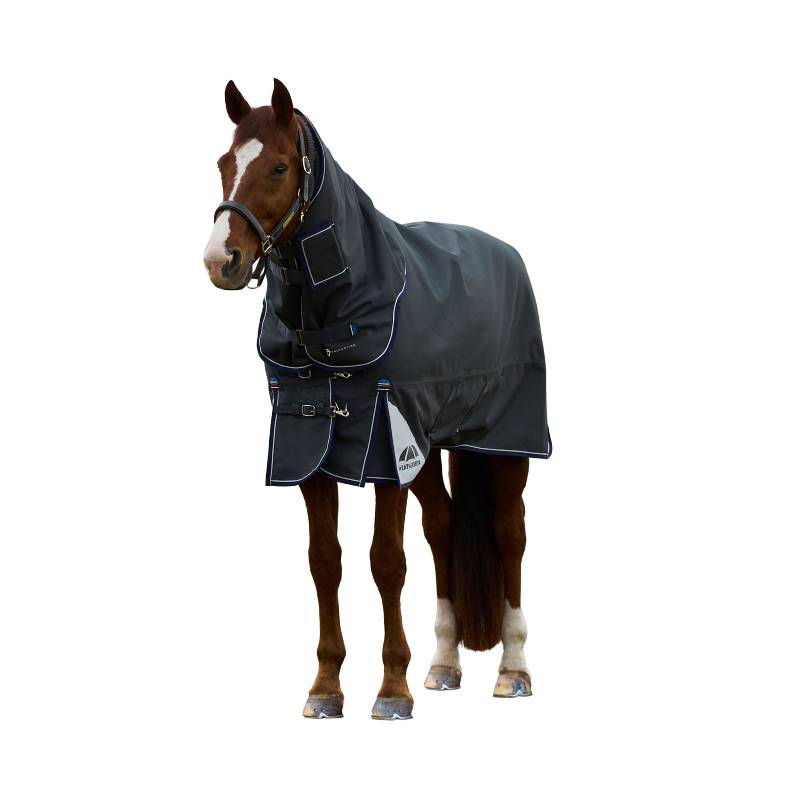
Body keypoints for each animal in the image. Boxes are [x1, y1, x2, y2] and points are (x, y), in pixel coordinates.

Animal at [203, 78, 550, 720]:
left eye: (279, 166)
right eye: (223, 164)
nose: (221, 261)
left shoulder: (384, 444)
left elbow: (386, 562)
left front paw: (391, 690)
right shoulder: (310, 445)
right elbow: (325, 562)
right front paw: (325, 688)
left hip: (506, 441)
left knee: (510, 532)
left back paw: (513, 670)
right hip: (432, 446)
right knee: (443, 527)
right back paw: (444, 663)